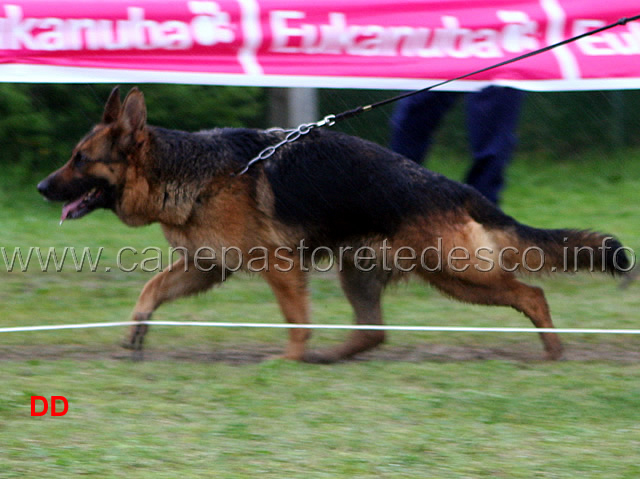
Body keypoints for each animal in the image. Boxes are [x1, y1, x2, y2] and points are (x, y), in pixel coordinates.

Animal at [38, 87, 632, 364]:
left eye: (80, 159)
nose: (42, 188)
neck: (190, 169)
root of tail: (459, 189)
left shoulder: (277, 268)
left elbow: (295, 319)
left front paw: (288, 360)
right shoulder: (205, 266)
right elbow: (151, 288)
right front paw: (136, 328)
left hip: (456, 274)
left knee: (532, 293)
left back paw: (553, 351)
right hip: (366, 273)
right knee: (373, 332)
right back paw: (332, 358)